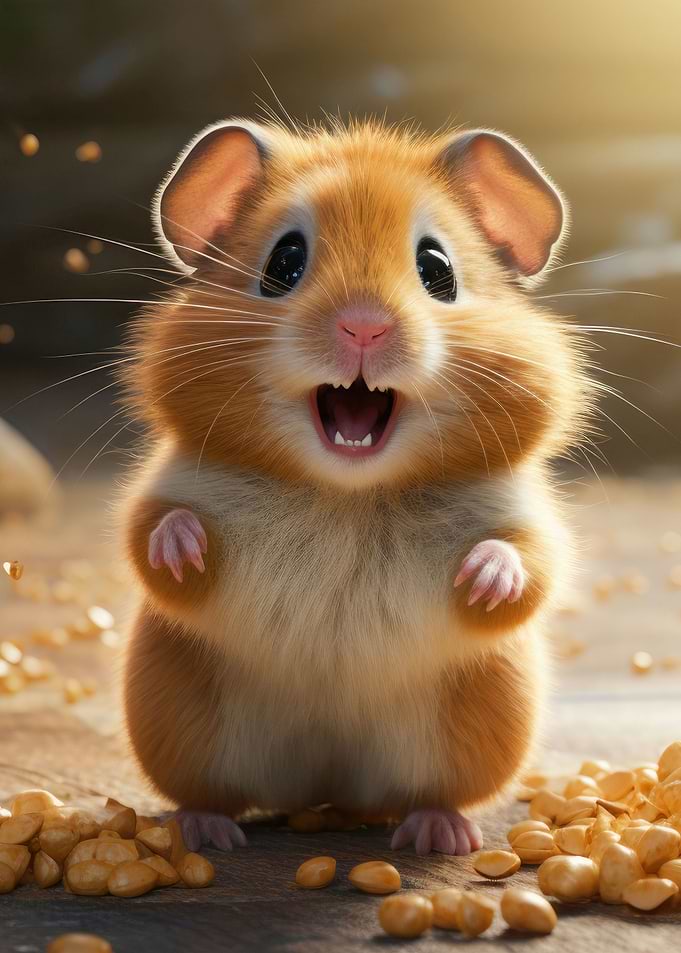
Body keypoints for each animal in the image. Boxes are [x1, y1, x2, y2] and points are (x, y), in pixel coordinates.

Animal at [120, 118, 591, 855]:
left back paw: (441, 833)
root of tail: (325, 790)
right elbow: (154, 533)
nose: (364, 325)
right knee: (210, 794)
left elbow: (526, 559)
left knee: (429, 795)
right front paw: (182, 546)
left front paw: (486, 577)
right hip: (180, 719)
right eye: (282, 264)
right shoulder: (169, 485)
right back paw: (206, 831)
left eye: (438, 270)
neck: (348, 494)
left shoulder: (525, 514)